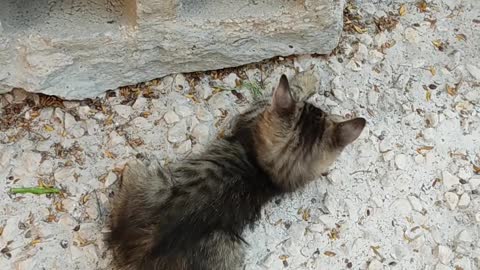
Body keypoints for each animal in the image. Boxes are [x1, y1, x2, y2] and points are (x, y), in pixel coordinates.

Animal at [108, 70, 364, 268]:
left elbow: (291, 90)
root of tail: (141, 251)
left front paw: (307, 78)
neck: (264, 172)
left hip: (144, 174)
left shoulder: (251, 116)